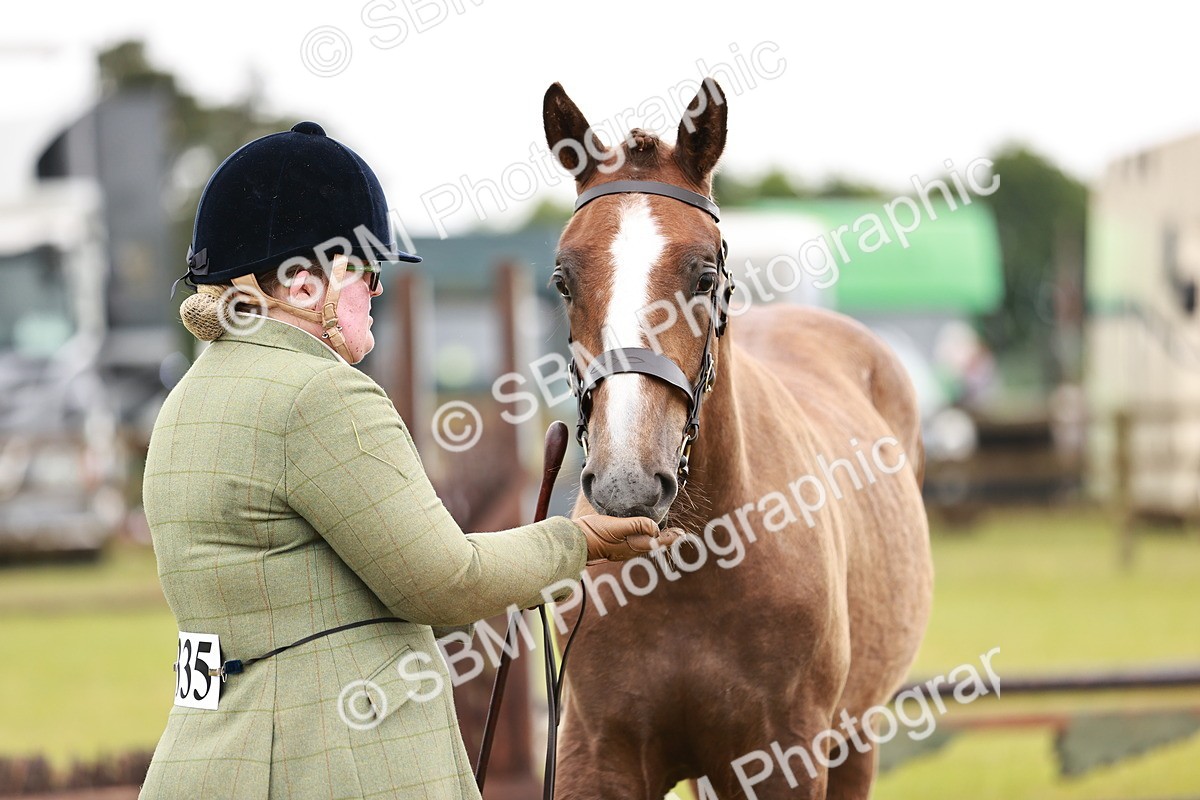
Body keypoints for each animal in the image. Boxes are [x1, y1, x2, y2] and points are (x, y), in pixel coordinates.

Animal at [541, 78, 933, 799]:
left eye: (703, 276)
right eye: (563, 280)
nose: (627, 482)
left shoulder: (786, 759)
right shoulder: (596, 758)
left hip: (855, 739)